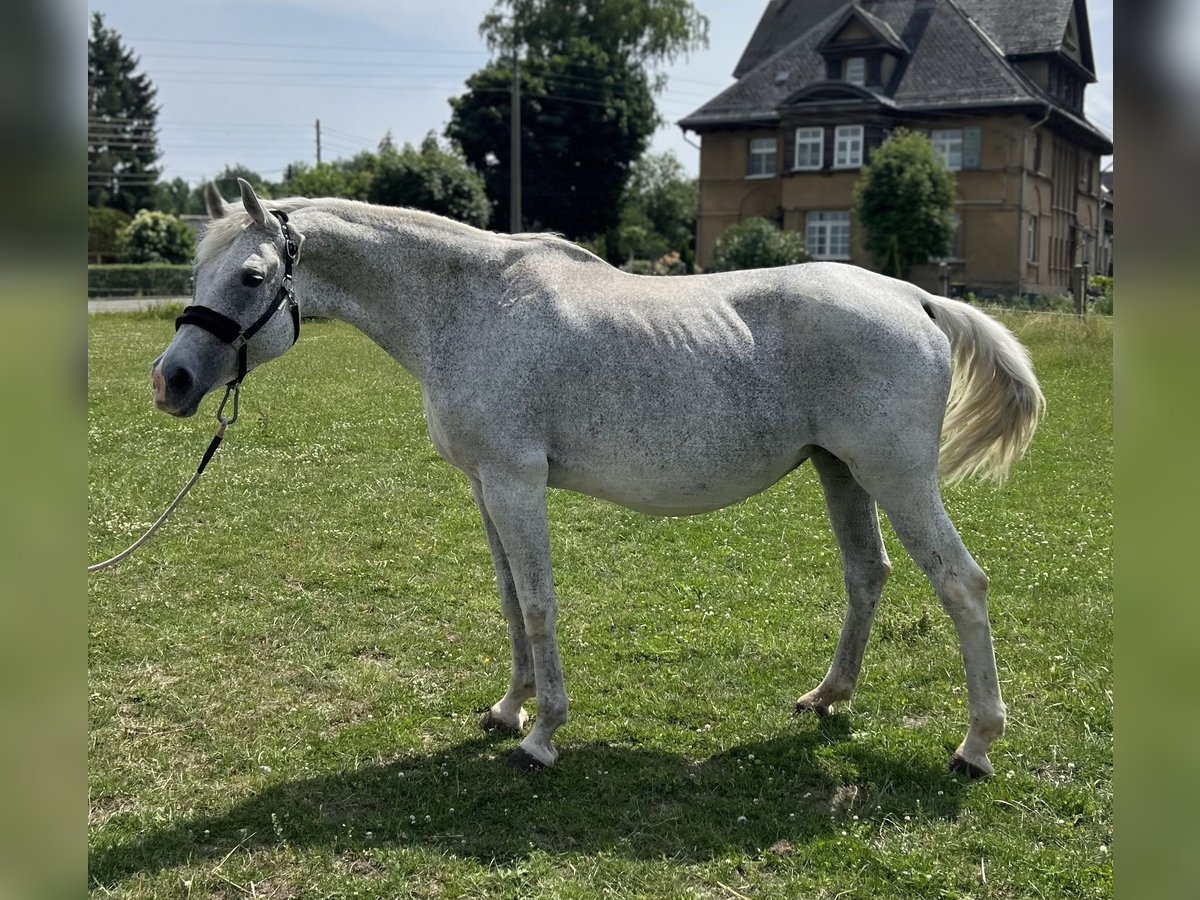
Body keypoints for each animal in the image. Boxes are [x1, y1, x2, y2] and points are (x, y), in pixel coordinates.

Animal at [151, 179, 1043, 777]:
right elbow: (510, 602)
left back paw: (975, 745)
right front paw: (506, 709)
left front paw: (542, 736)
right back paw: (828, 698)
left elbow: (541, 606)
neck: (470, 308)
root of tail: (914, 297)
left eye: (252, 277)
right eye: (195, 275)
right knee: (868, 576)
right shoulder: (485, 486)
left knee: (962, 585)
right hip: (843, 474)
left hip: (897, 479)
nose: (171, 381)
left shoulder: (516, 483)